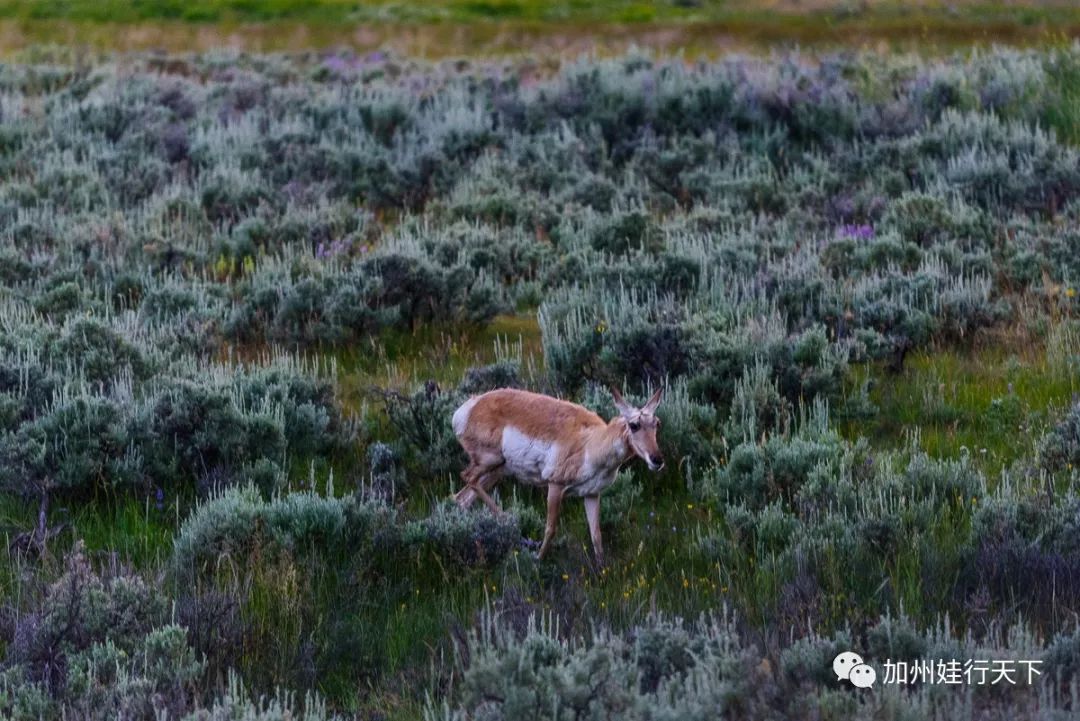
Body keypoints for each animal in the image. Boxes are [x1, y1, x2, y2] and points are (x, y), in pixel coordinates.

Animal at [451, 386, 660, 565]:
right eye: (634, 425)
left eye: (656, 424)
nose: (657, 459)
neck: (591, 442)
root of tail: (468, 407)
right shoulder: (555, 486)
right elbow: (551, 529)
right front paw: (538, 559)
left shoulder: (592, 494)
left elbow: (596, 535)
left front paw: (602, 572)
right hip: (490, 460)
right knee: (467, 477)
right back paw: (509, 521)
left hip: (497, 471)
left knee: (462, 498)